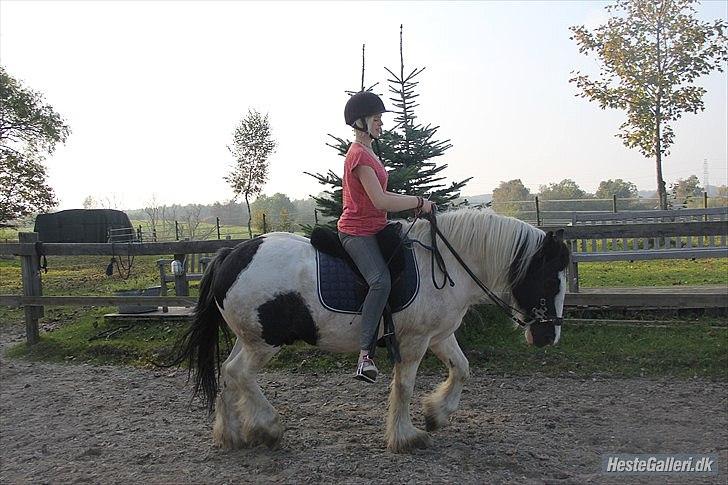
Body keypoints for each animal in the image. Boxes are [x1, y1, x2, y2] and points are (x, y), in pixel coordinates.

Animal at [168, 207, 572, 450]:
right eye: (551, 279)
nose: (549, 336)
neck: (445, 264)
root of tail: (230, 255)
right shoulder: (415, 341)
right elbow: (404, 387)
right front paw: (406, 436)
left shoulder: (440, 336)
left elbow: (462, 369)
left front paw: (436, 414)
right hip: (265, 343)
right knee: (238, 374)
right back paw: (266, 427)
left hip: (249, 338)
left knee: (227, 373)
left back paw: (232, 434)